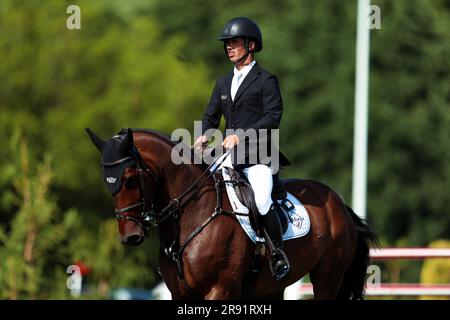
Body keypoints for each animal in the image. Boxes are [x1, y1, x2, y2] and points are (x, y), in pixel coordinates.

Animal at [86, 127, 378, 300]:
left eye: (130, 179)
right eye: (107, 182)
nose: (130, 236)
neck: (192, 214)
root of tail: (339, 204)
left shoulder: (219, 291)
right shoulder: (180, 294)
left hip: (328, 277)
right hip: (272, 287)